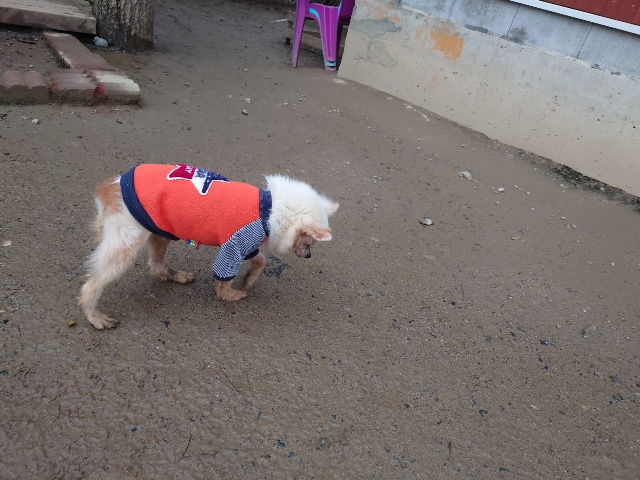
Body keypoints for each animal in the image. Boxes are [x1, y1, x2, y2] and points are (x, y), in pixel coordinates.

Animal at [79, 164, 339, 329]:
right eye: (309, 242)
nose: (309, 256)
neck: (269, 208)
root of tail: (110, 187)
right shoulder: (233, 247)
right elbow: (224, 279)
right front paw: (230, 295)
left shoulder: (248, 245)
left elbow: (261, 260)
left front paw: (249, 279)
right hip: (127, 241)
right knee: (93, 284)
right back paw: (94, 316)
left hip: (159, 228)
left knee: (156, 263)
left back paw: (175, 275)